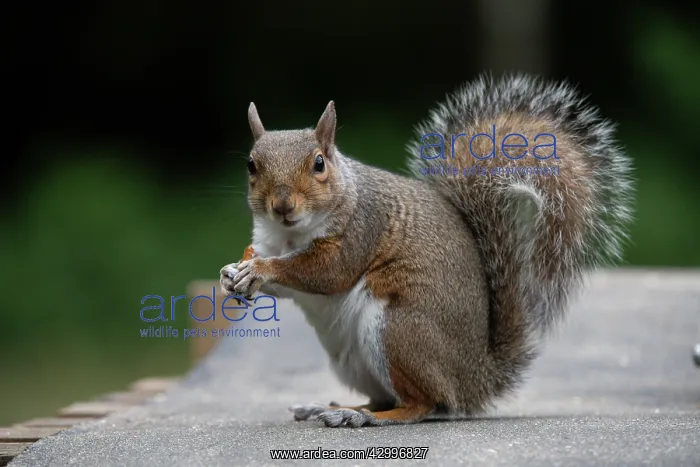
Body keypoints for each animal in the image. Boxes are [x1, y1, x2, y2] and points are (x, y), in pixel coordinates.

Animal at [219, 74, 634, 428]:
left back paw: (365, 417)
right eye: (251, 165)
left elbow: (328, 272)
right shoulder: (268, 240)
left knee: (421, 404)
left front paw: (262, 271)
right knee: (386, 398)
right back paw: (333, 407)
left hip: (398, 331)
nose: (282, 205)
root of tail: (474, 379)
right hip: (354, 360)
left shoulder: (361, 229)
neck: (290, 236)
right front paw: (231, 275)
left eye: (319, 163)